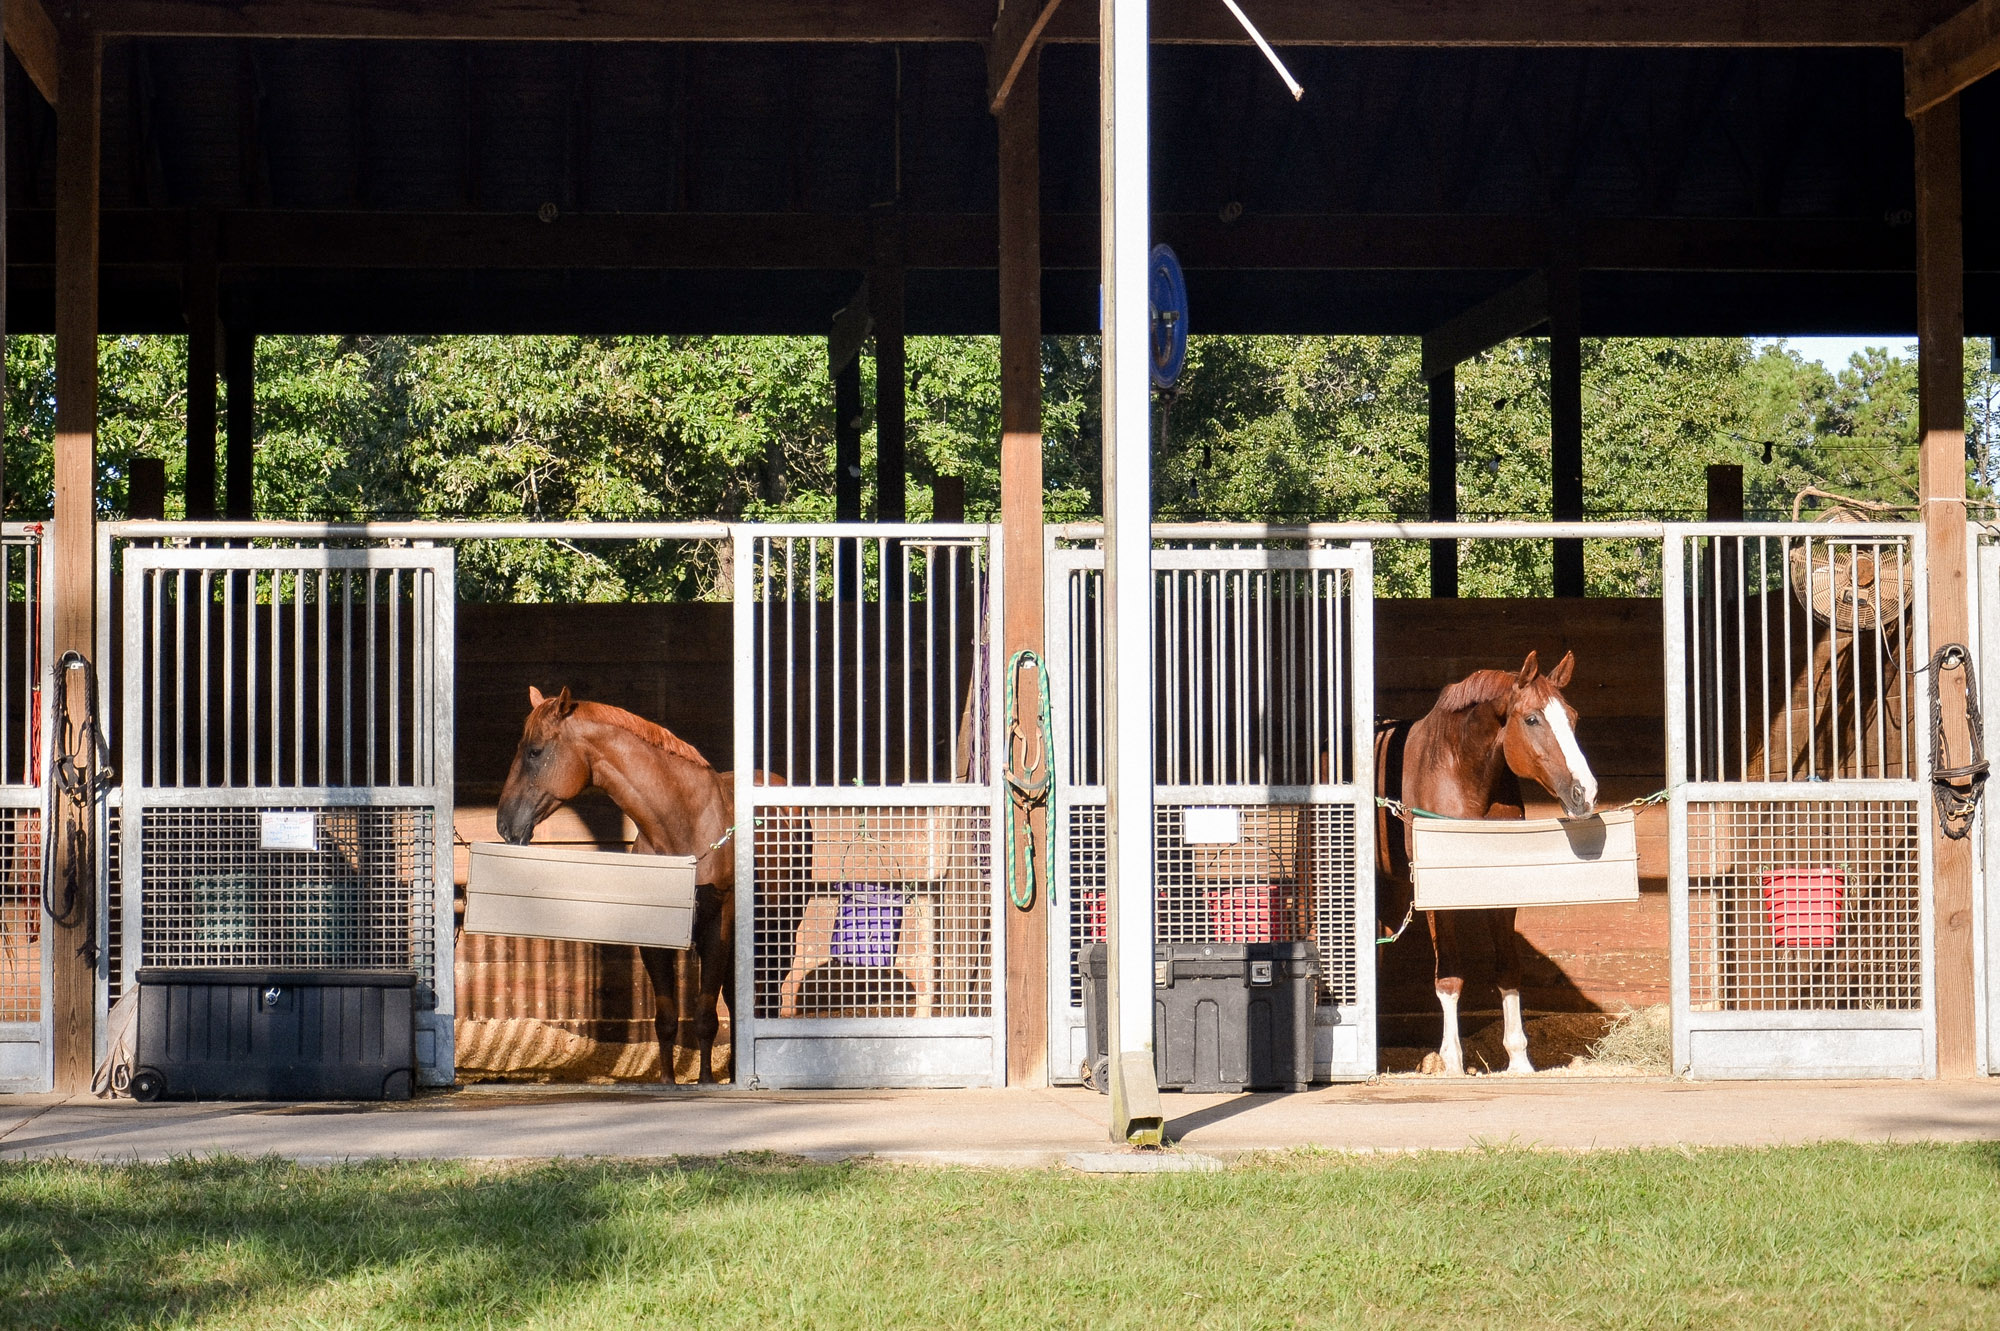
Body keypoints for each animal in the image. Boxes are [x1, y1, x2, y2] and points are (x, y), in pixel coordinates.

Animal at [495, 686, 743, 1085]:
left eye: (534, 751)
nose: (504, 824)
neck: (687, 826)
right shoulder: (654, 940)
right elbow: (666, 1018)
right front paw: (668, 1082)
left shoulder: (716, 931)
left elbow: (705, 1016)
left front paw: (705, 1081)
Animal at [1375, 650, 1598, 1076]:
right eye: (1532, 719)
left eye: (1575, 717)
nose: (1586, 793)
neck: (1459, 776)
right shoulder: (1438, 894)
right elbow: (1449, 975)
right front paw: (1452, 1062)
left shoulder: (1502, 884)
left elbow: (1508, 969)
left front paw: (1519, 1059)